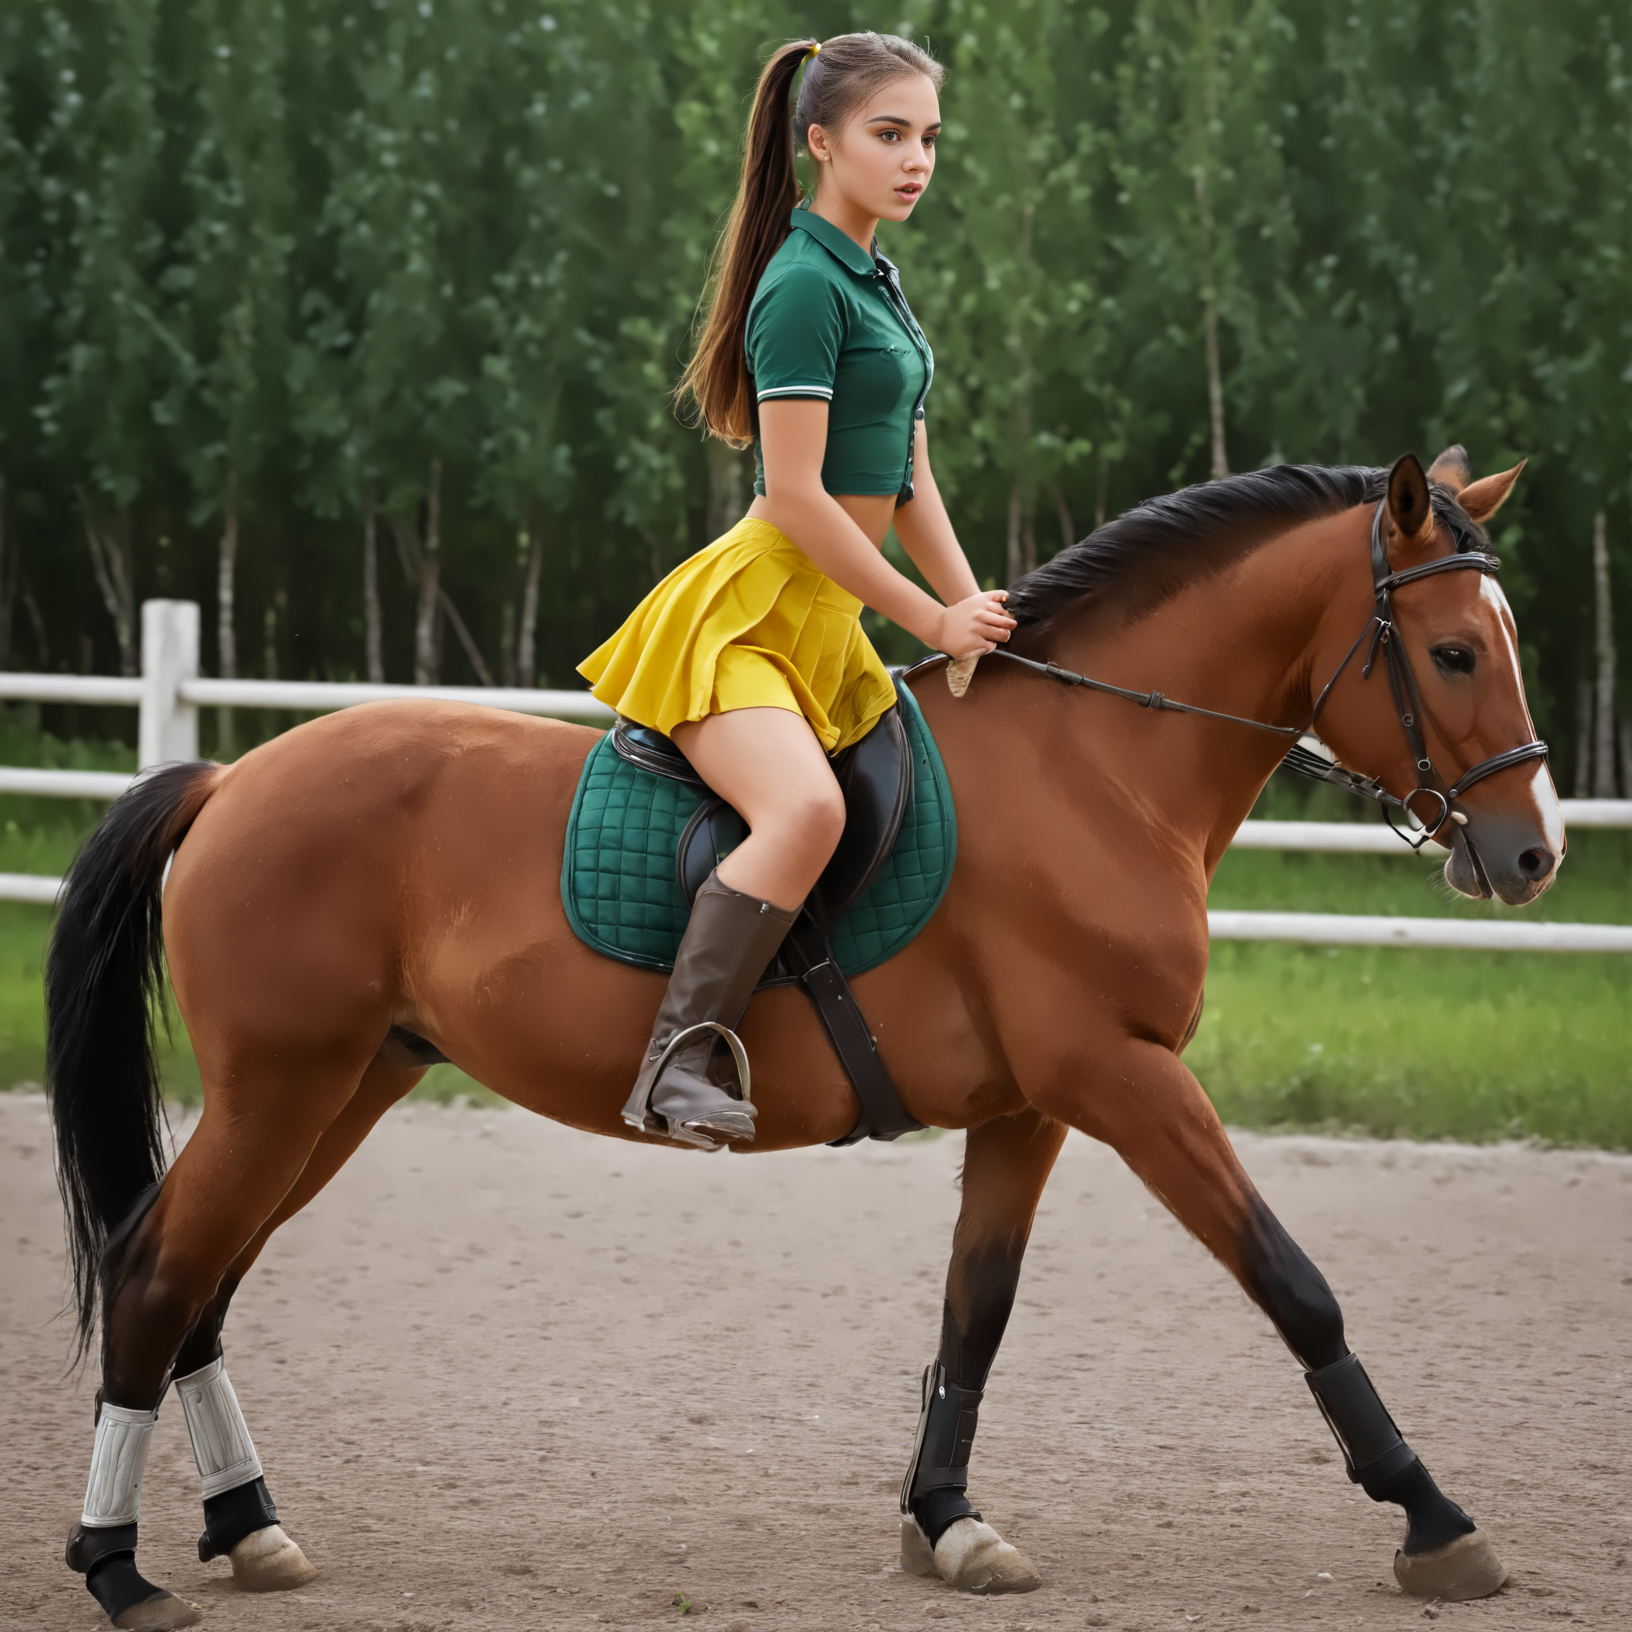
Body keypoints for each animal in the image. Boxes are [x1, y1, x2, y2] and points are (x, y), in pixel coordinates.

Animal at [47, 450, 1558, 1629]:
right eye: (1453, 652)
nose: (1533, 853)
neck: (1092, 769)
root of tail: (231, 776)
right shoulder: (1122, 1075)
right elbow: (1294, 1282)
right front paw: (1435, 1519)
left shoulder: (1030, 1107)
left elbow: (976, 1312)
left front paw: (949, 1522)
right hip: (281, 1089)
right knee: (156, 1272)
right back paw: (120, 1569)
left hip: (345, 1087)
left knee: (202, 1286)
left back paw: (249, 1531)